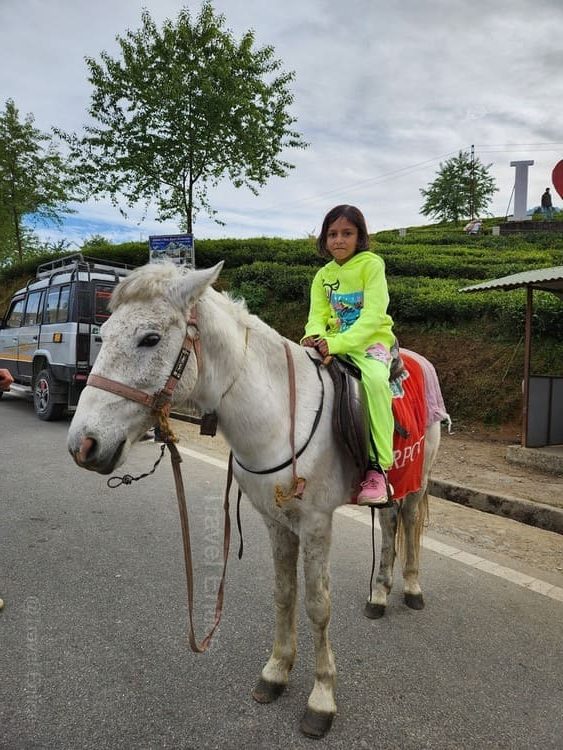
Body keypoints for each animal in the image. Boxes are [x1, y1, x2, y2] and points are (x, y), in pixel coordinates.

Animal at [66, 264, 442, 740]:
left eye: (150, 338)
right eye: (106, 331)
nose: (82, 444)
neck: (280, 414)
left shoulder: (316, 523)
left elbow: (318, 605)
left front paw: (321, 698)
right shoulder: (276, 521)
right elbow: (283, 594)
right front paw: (277, 671)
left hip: (417, 478)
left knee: (408, 522)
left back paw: (411, 589)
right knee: (391, 524)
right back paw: (379, 595)